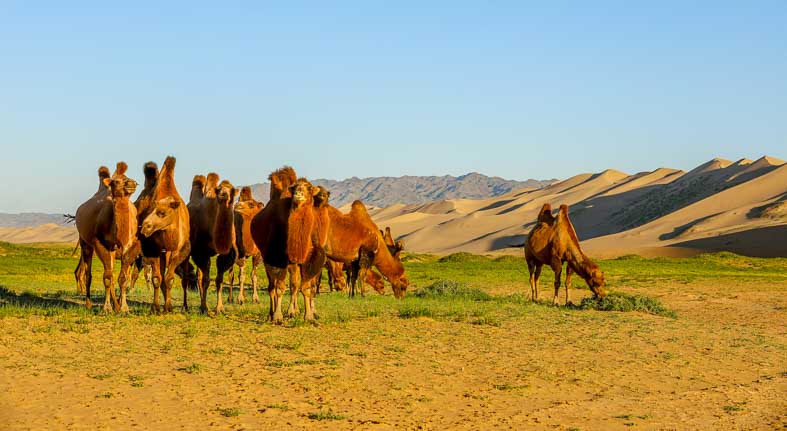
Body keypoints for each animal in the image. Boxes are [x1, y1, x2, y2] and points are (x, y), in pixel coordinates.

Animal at [75, 164, 140, 312]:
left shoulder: (131, 246)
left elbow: (123, 278)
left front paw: (124, 307)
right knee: (88, 273)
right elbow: (108, 277)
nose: (132, 183)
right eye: (115, 181)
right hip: (85, 242)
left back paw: (117, 305)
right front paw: (106, 308)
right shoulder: (100, 243)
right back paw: (89, 304)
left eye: (128, 177)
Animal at [135, 158, 192, 314]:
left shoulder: (178, 250)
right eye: (149, 210)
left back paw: (184, 306)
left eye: (162, 213)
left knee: (184, 280)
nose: (144, 227)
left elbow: (169, 279)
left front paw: (168, 307)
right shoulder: (152, 250)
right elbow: (157, 279)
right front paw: (156, 308)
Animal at [187, 174, 237, 316]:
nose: (223, 195)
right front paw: (205, 308)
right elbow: (206, 280)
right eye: (219, 189)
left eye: (232, 190)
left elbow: (219, 280)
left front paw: (219, 308)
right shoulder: (201, 252)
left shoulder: (228, 253)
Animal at [251, 169, 328, 324]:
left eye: (309, 187)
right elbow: (280, 288)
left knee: (293, 285)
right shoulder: (278, 258)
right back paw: (271, 314)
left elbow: (305, 288)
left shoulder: (309, 258)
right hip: (266, 257)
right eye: (295, 187)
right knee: (272, 287)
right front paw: (278, 316)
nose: (298, 193)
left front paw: (308, 316)